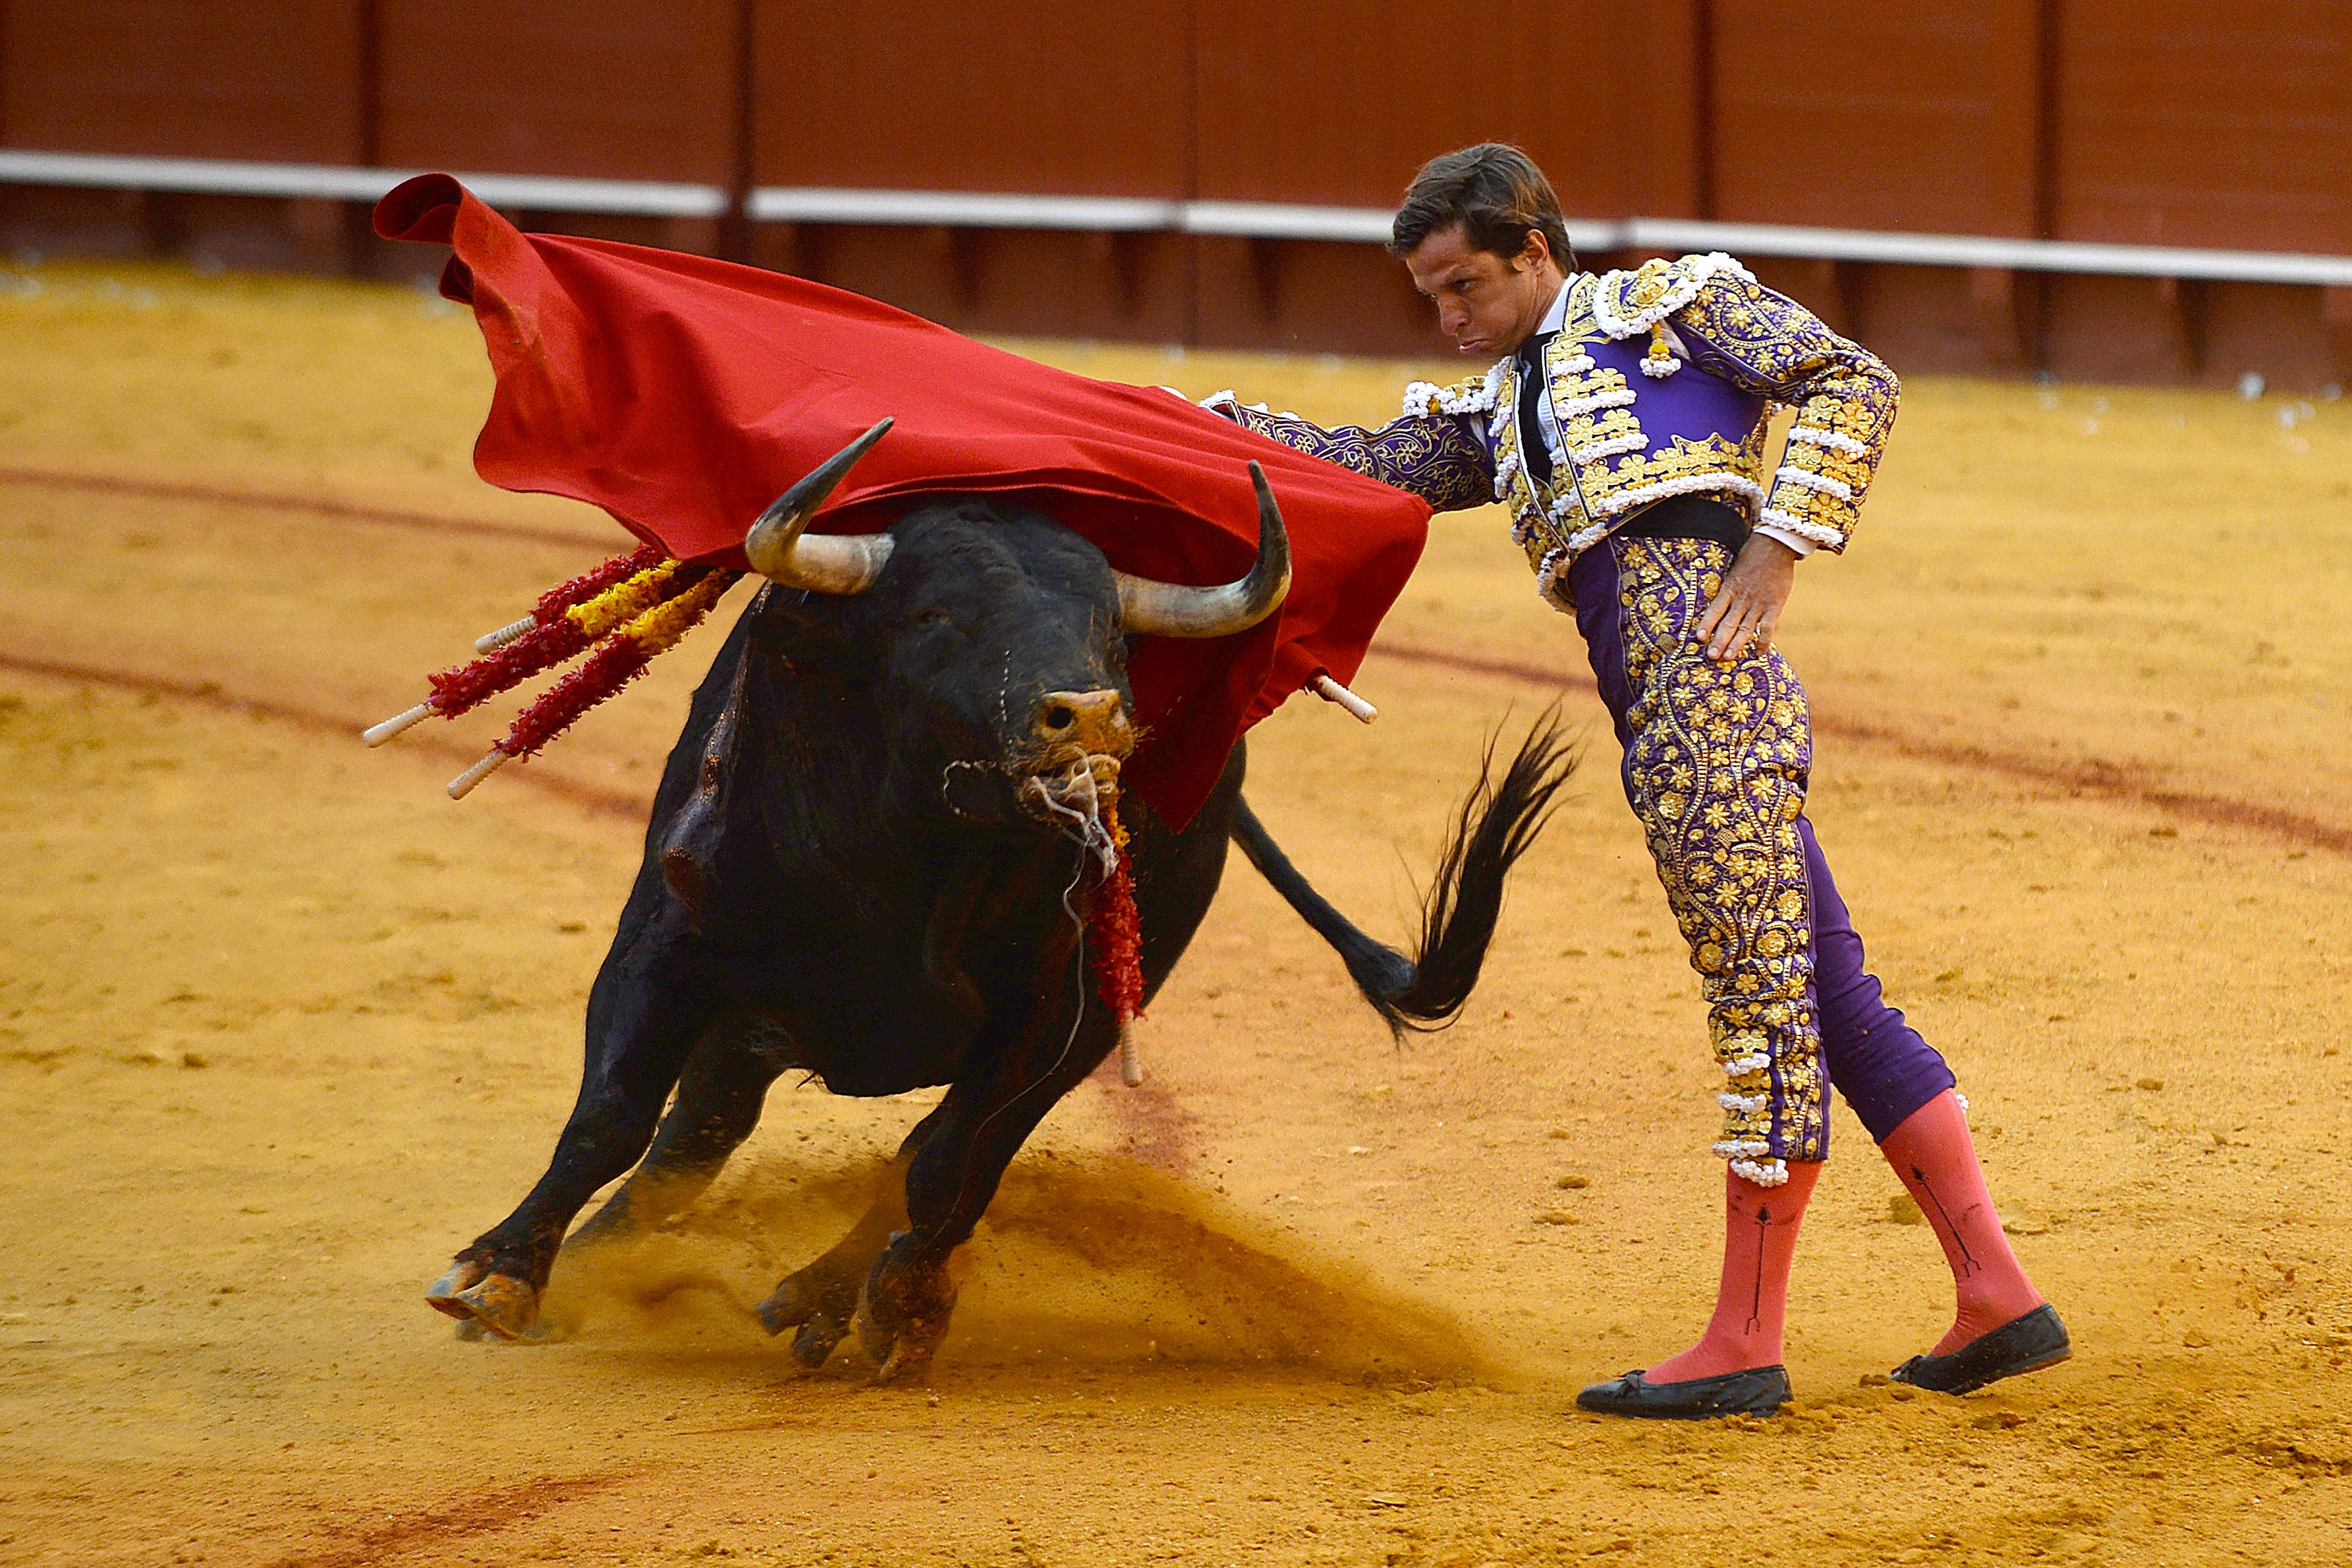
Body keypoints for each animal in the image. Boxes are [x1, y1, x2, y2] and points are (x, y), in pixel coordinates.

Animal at [430, 423, 1571, 1382]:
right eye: (936, 614)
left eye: (1110, 627)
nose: (1091, 717)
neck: (918, 864)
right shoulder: (667, 947)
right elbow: (612, 1113)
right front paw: (500, 1276)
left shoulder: (1042, 1015)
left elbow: (941, 1160)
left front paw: (889, 1309)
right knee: (696, 1133)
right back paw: (608, 1256)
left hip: (1085, 1027)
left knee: (946, 1158)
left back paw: (841, 1302)